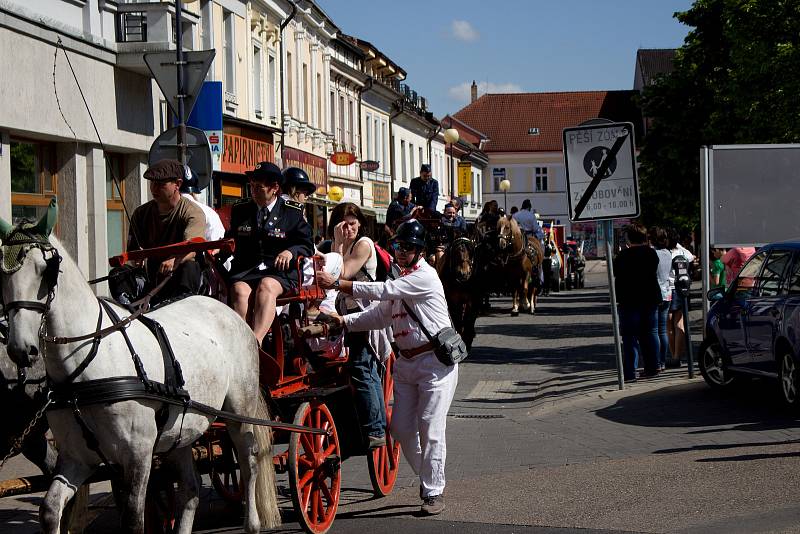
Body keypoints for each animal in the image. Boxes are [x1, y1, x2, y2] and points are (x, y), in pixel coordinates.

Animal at [0, 201, 282, 534]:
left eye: (46, 270)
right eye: (1, 274)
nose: (21, 348)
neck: (87, 364)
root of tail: (227, 311)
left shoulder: (138, 454)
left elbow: (134, 519)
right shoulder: (76, 458)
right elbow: (50, 510)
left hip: (239, 410)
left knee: (249, 460)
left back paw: (252, 521)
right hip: (182, 429)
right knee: (190, 489)